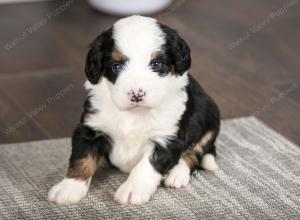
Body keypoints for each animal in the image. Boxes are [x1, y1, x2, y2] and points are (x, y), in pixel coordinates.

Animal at [48, 15, 219, 205]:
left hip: (209, 122)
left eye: (156, 64)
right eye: (116, 66)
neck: (135, 114)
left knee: (194, 153)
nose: (137, 95)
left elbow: (146, 165)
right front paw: (69, 187)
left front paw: (133, 190)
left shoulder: (168, 137)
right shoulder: (90, 127)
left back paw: (177, 174)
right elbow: (82, 158)